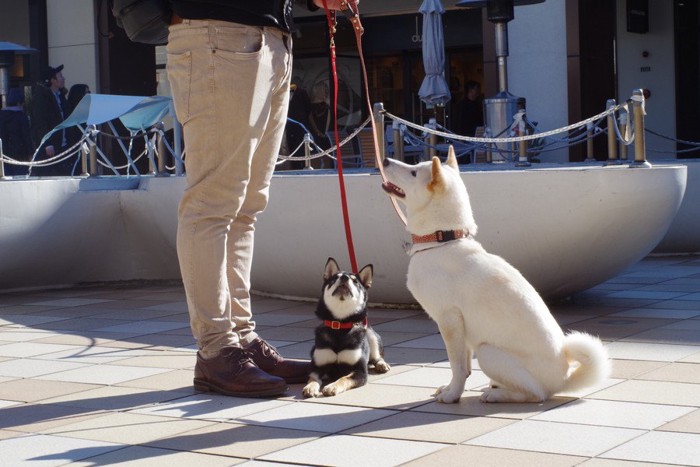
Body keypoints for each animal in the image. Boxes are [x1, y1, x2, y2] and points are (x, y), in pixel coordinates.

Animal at [302, 258, 392, 396]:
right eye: (334, 278)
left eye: (355, 281)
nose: (344, 277)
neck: (339, 325)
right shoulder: (317, 366)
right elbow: (312, 377)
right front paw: (310, 387)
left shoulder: (360, 371)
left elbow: (344, 378)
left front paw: (332, 386)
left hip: (371, 335)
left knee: (377, 356)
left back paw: (382, 364)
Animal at [380, 149, 608, 402]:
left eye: (413, 172)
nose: (385, 160)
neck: (442, 240)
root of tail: (563, 380)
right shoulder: (460, 328)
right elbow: (464, 367)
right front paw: (450, 388)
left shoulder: (450, 320)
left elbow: (456, 365)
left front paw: (453, 394)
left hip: (487, 352)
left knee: (536, 394)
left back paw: (497, 394)